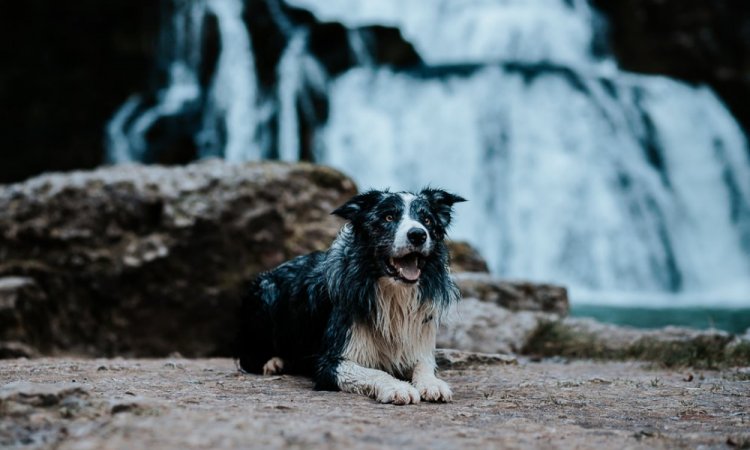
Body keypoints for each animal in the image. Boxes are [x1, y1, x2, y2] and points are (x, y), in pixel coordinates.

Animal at [238, 186, 468, 404]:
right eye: (388, 217)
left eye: (427, 220)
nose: (418, 234)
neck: (392, 293)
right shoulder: (330, 362)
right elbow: (375, 372)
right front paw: (398, 387)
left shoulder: (417, 341)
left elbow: (424, 365)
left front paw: (433, 384)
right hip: (266, 294)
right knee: (248, 358)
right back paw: (274, 362)